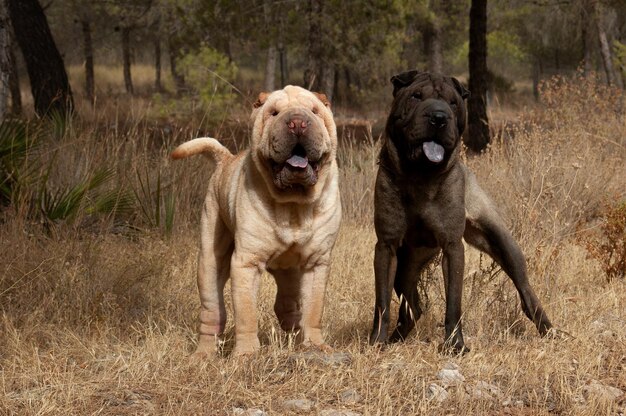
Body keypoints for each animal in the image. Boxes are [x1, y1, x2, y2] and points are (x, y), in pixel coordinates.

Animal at [368, 70, 552, 352]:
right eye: (416, 96)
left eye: (453, 103)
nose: (438, 117)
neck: (419, 176)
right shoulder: (387, 247)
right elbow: (382, 302)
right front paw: (376, 341)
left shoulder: (452, 247)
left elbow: (453, 302)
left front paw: (455, 345)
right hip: (406, 265)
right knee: (413, 307)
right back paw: (395, 339)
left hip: (504, 245)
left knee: (527, 294)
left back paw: (550, 331)